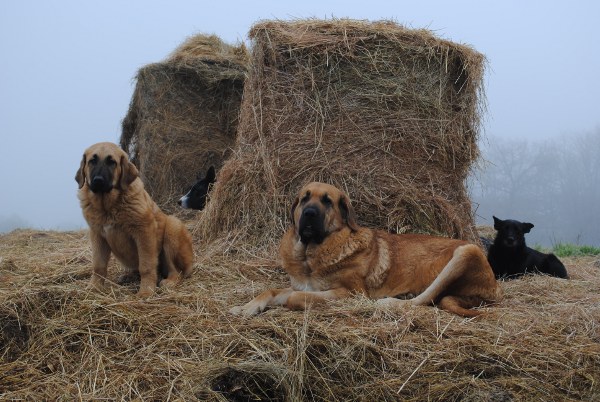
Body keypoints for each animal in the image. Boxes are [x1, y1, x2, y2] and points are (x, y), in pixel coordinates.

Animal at [75, 141, 192, 296]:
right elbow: (98, 266)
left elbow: (146, 266)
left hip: (173, 227)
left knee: (176, 270)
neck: (108, 206)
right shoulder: (97, 235)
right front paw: (94, 287)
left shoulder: (144, 232)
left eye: (112, 162)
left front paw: (146, 291)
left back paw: (169, 281)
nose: (98, 181)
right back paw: (128, 276)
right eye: (92, 161)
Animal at [230, 182, 502, 318]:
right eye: (304, 198)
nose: (308, 214)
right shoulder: (302, 285)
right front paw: (247, 307)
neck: (312, 254)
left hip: (467, 251)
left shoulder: (349, 293)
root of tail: (491, 290)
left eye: (327, 201)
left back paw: (390, 302)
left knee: (423, 300)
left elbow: (295, 299)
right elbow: (271, 291)